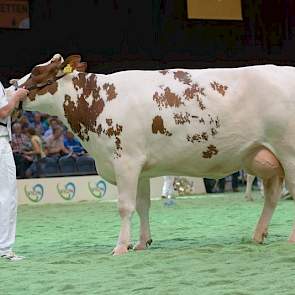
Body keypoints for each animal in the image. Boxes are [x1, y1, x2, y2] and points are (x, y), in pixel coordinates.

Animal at [9, 55, 295, 254]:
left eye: (37, 71)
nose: (11, 87)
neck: (98, 102)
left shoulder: (125, 161)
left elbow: (125, 206)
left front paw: (120, 247)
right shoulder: (140, 168)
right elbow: (142, 206)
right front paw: (141, 242)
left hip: (288, 153)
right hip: (265, 158)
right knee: (271, 197)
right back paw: (258, 235)